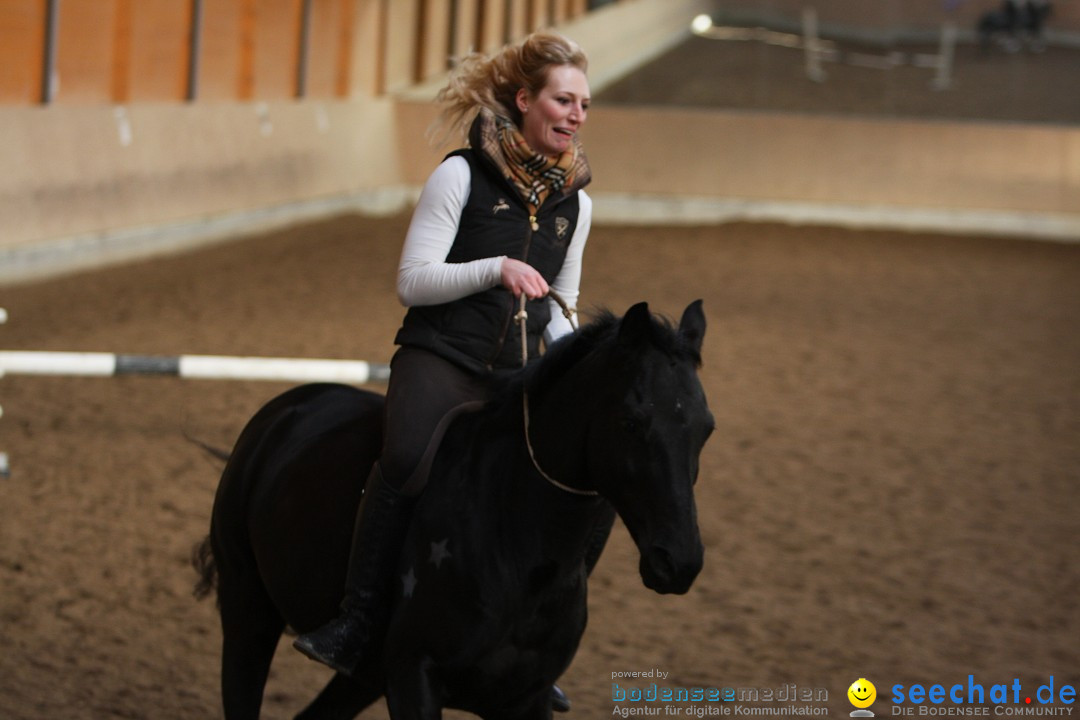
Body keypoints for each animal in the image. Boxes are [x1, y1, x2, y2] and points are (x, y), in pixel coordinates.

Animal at [194, 302, 717, 716]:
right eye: (631, 421)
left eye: (706, 427)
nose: (679, 563)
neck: (513, 539)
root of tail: (285, 410)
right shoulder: (414, 678)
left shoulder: (524, 698)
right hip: (248, 611)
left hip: (360, 676)